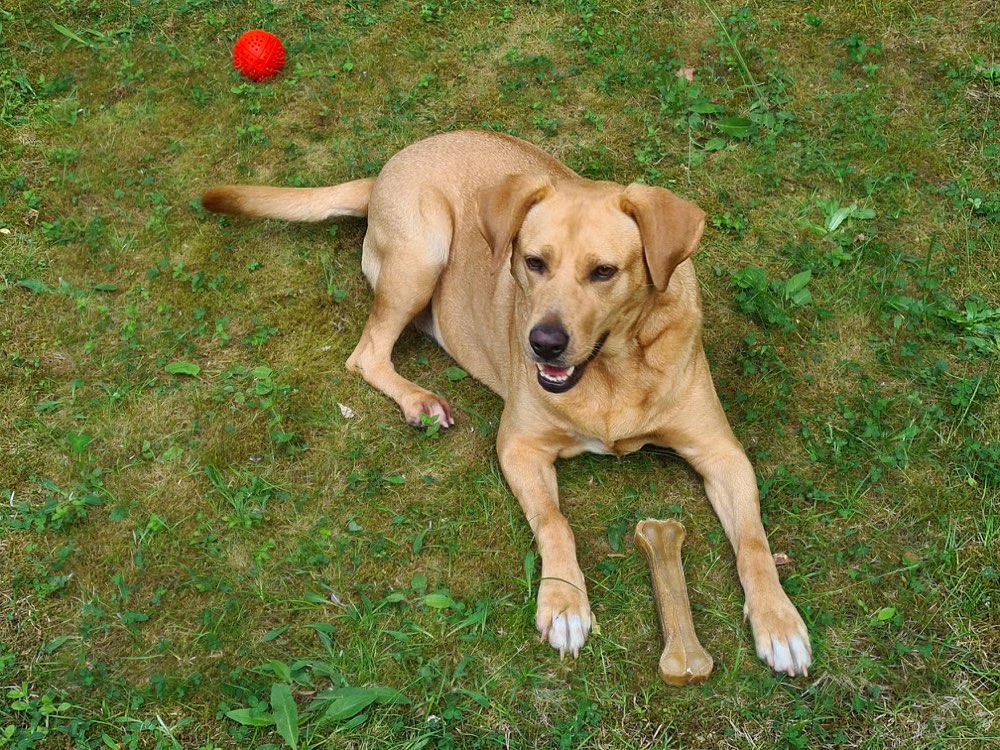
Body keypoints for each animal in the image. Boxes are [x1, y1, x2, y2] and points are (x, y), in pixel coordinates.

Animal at [205, 131, 812, 680]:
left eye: (604, 271)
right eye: (534, 262)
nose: (542, 343)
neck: (614, 372)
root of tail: (391, 166)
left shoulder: (721, 453)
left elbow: (753, 542)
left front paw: (779, 622)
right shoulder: (519, 447)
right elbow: (555, 523)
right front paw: (564, 602)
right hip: (423, 253)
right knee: (367, 354)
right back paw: (418, 401)